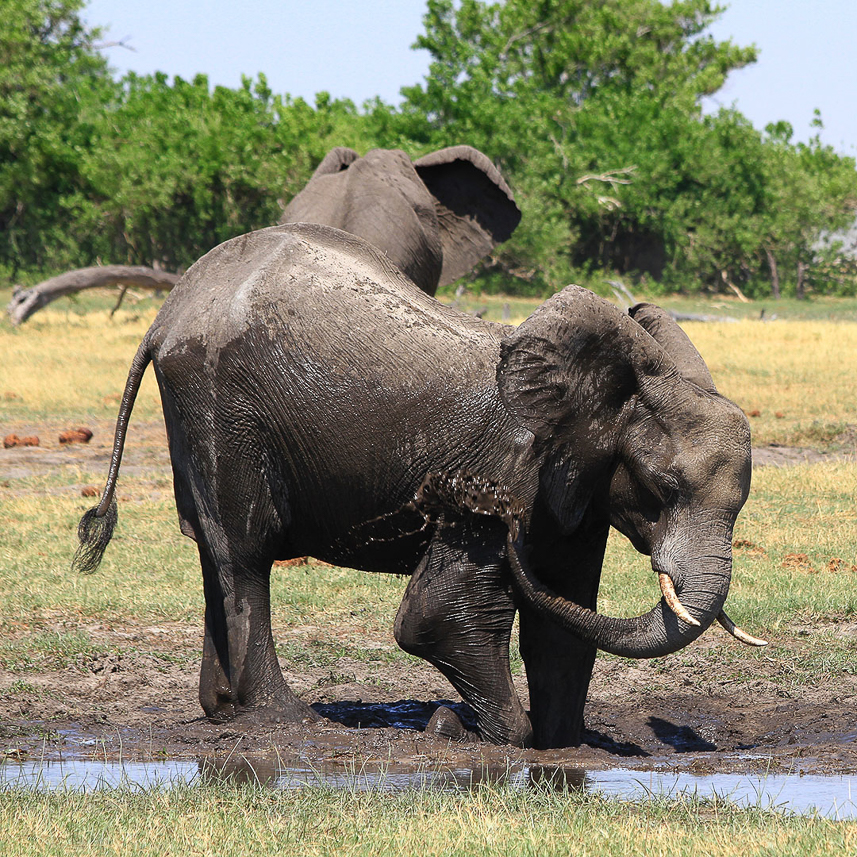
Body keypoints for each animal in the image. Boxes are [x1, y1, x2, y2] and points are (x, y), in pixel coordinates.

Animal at [77, 221, 764, 748]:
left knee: (210, 550)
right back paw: (283, 719)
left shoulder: (579, 488)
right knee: (245, 554)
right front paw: (483, 733)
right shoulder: (509, 465)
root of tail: (167, 314)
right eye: (663, 485)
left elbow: (564, 620)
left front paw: (560, 744)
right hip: (220, 403)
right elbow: (440, 618)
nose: (446, 495)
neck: (612, 388)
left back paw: (223, 710)